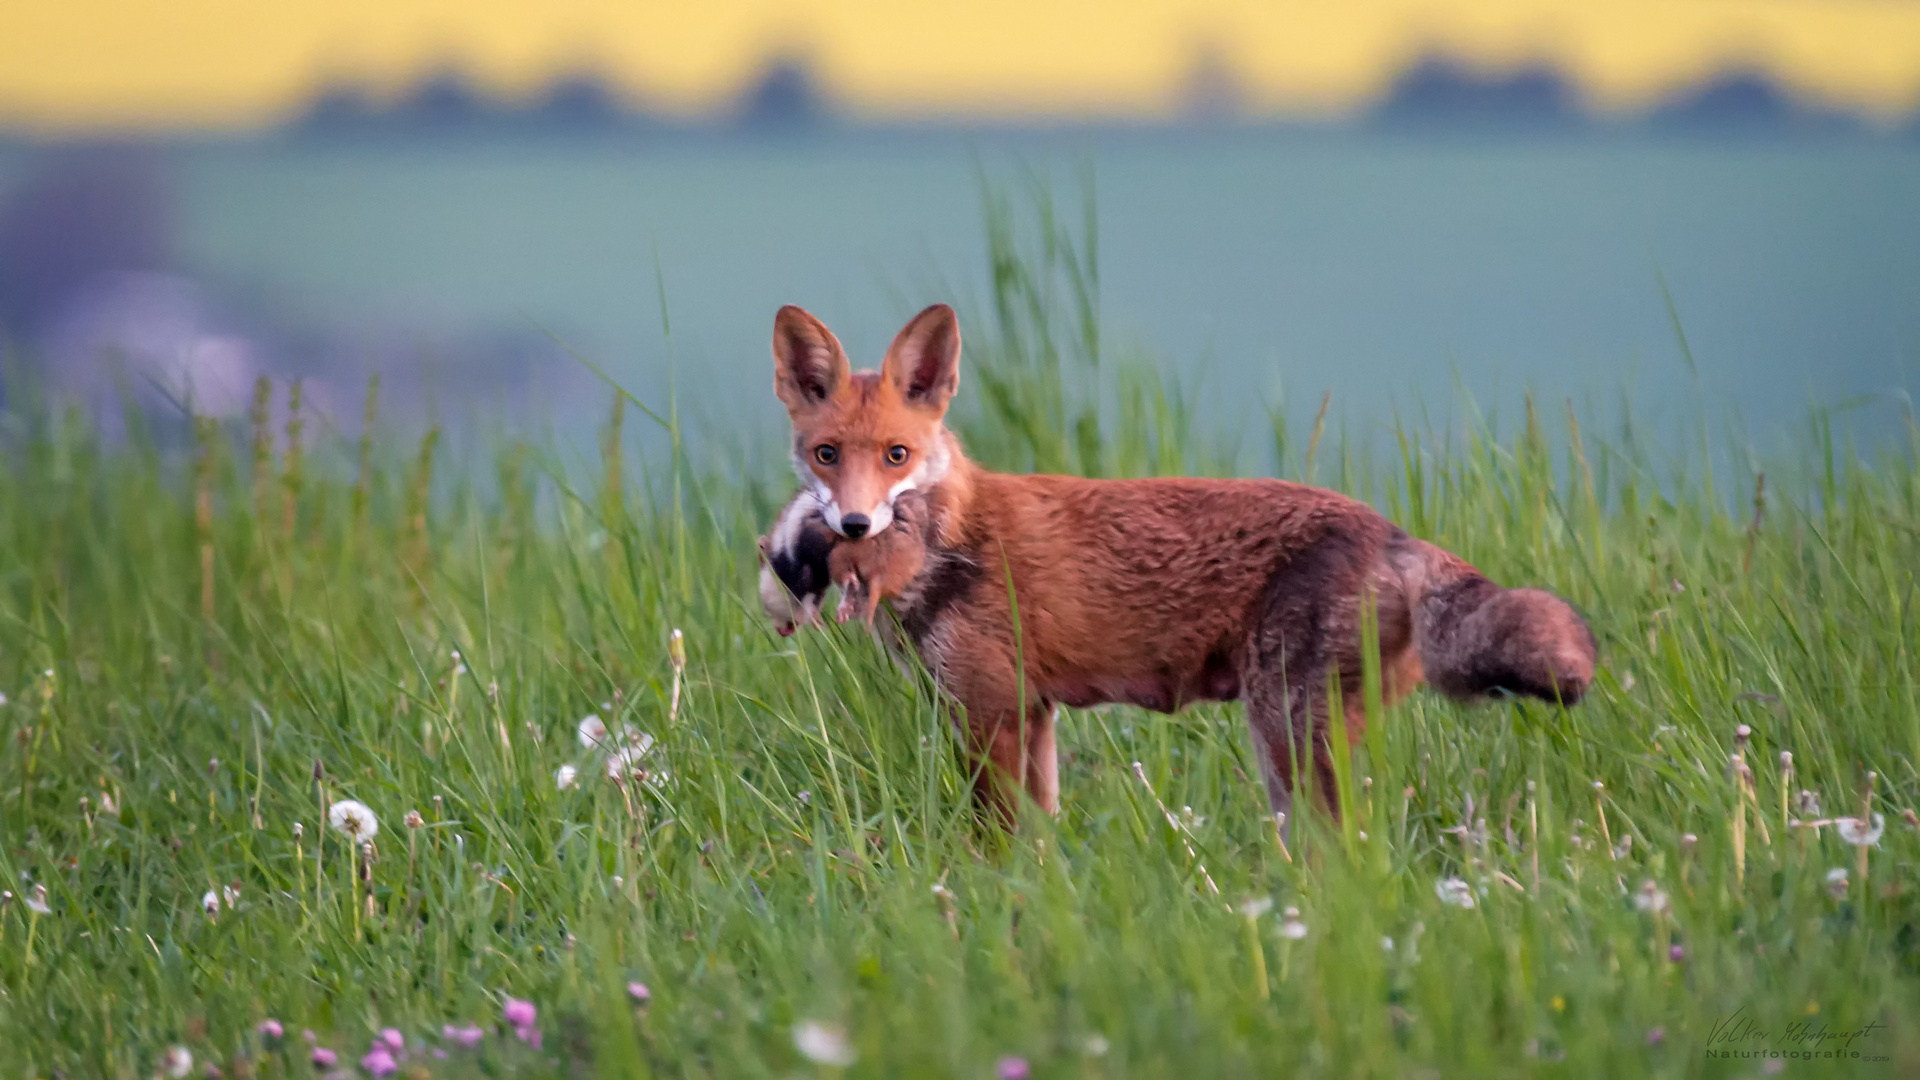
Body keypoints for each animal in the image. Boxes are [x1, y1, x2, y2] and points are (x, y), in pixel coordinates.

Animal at [756, 303, 1597, 822]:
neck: (952, 540)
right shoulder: (1031, 716)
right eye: (827, 455)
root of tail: (1391, 530)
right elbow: (1039, 844)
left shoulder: (991, 712)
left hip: (1289, 735)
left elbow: (994, 849)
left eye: (896, 456)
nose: (855, 523)